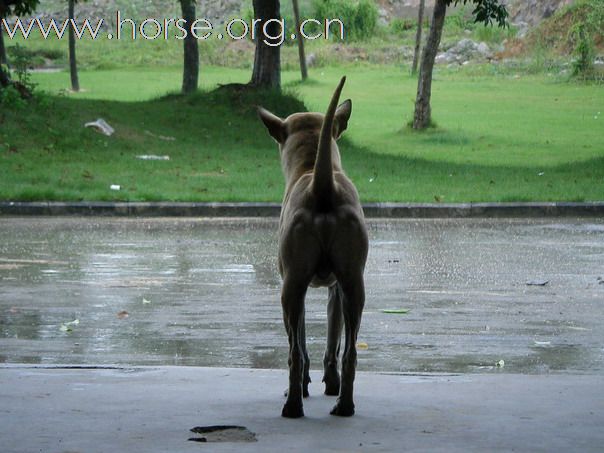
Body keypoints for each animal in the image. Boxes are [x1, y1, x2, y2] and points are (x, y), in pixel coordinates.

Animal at [256, 77, 368, 416]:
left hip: (289, 289)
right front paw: (331, 383)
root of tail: (322, 188)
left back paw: (293, 404)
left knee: (293, 352)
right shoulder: (337, 288)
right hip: (354, 283)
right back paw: (344, 404)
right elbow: (333, 338)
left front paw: (306, 384)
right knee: (350, 351)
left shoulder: (295, 283)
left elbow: (302, 344)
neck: (309, 167)